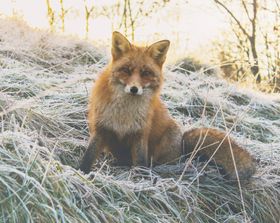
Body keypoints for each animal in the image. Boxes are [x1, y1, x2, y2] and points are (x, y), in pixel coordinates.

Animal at [79, 31, 256, 180]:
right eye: (126, 70)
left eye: (145, 73)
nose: (134, 89)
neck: (124, 113)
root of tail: (183, 149)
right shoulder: (101, 128)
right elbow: (88, 156)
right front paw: (81, 173)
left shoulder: (140, 134)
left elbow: (141, 162)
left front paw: (141, 179)